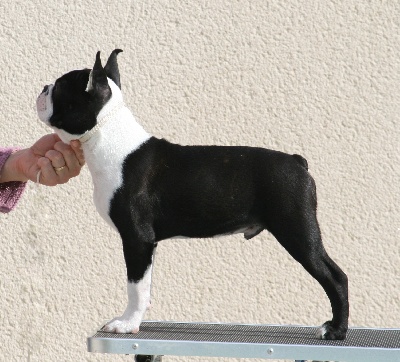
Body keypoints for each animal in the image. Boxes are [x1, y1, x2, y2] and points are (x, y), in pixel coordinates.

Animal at [37, 48, 348, 340]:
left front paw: (127, 324)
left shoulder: (137, 239)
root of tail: (297, 161)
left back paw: (336, 330)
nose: (43, 87)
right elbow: (146, 286)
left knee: (336, 277)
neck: (109, 137)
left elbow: (135, 287)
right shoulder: (146, 245)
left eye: (60, 87)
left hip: (296, 228)